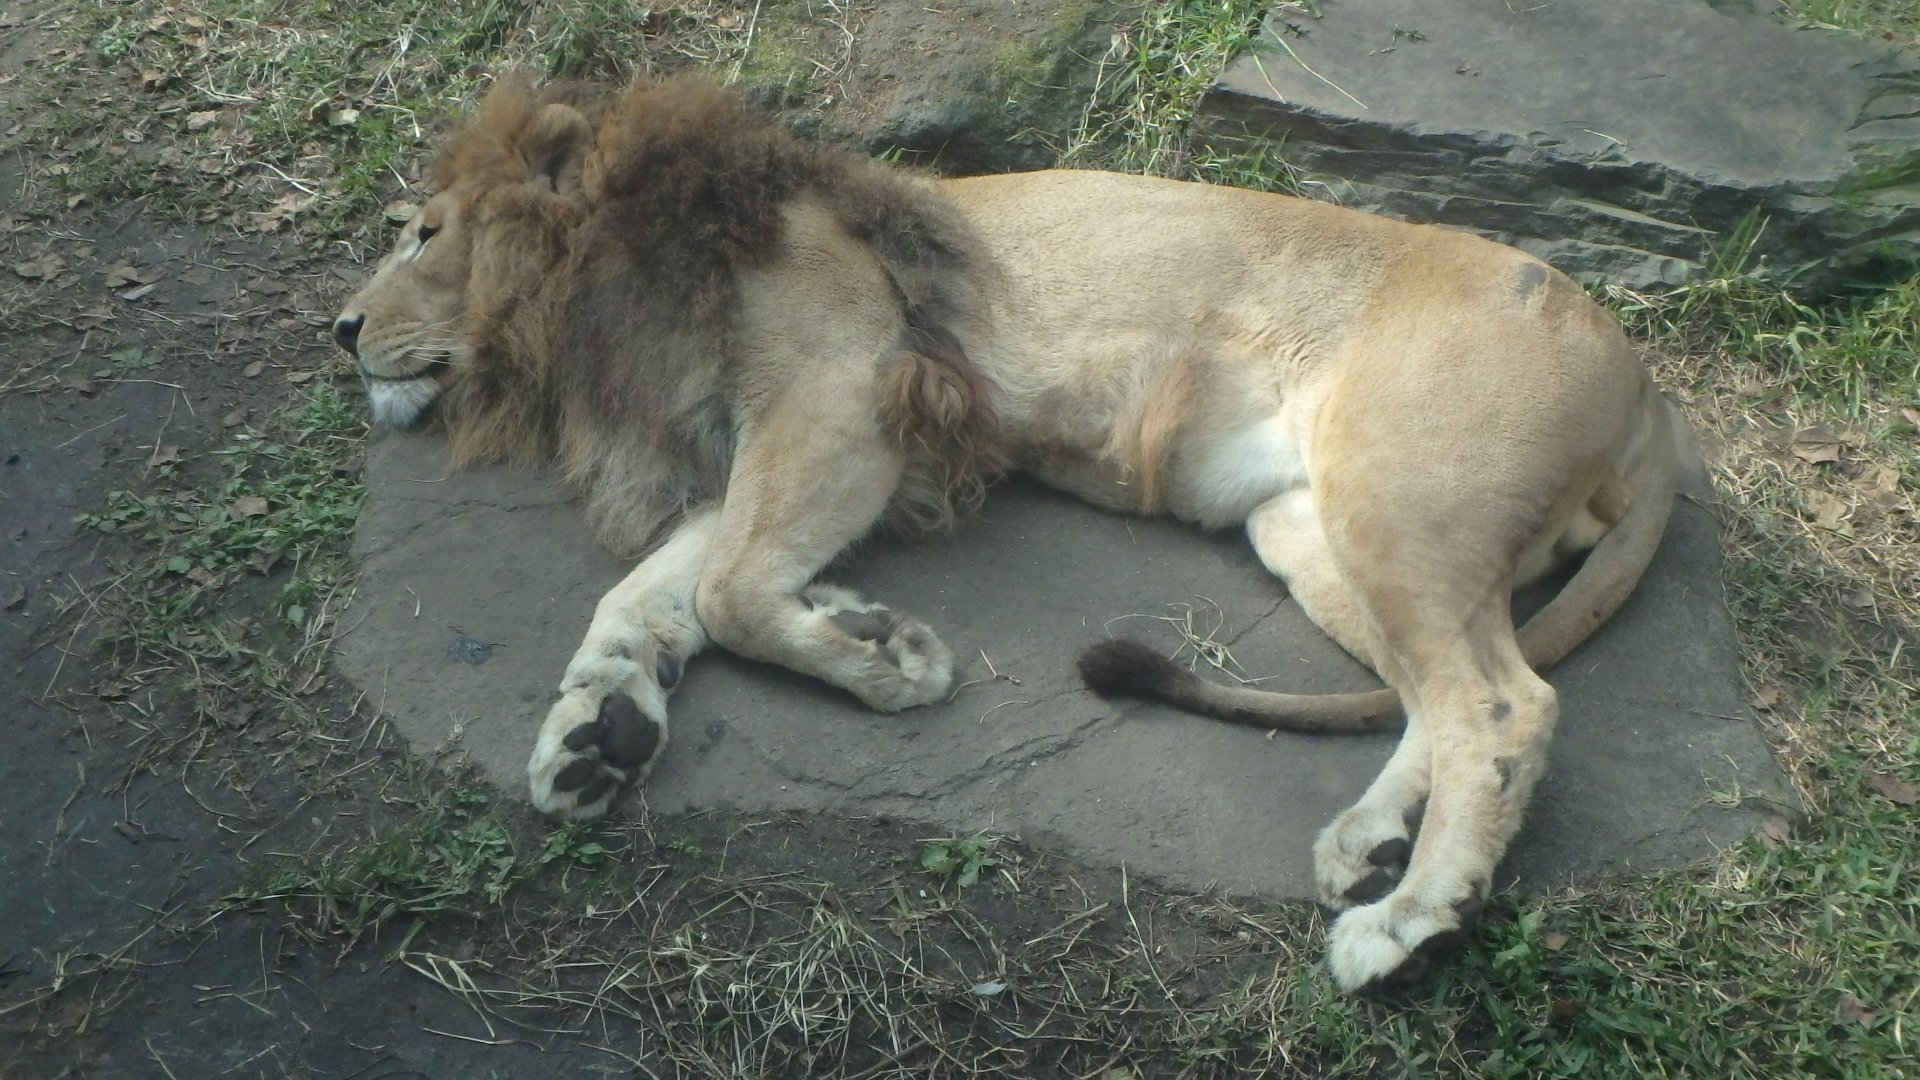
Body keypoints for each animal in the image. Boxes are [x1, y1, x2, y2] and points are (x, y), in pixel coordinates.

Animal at [332, 75, 1678, 993]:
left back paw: (1408, 922)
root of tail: (1644, 387)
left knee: (1505, 705)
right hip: (1314, 531)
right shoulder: (773, 441)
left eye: (424, 233)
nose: (339, 330)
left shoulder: (843, 394)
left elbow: (725, 595)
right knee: (1442, 696)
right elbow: (652, 597)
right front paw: (597, 733)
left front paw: (885, 659)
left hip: (1401, 500)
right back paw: (1371, 842)